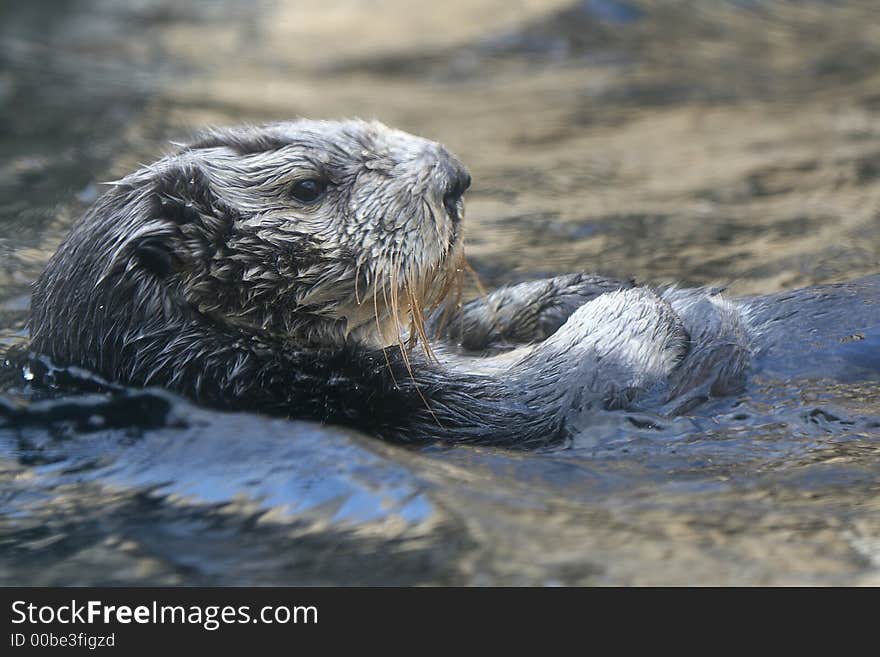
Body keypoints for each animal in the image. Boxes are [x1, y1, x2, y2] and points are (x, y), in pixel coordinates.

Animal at [27, 119, 880, 446]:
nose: (453, 174)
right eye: (307, 187)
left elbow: (465, 324)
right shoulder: (392, 403)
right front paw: (647, 307)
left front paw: (573, 289)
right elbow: (554, 386)